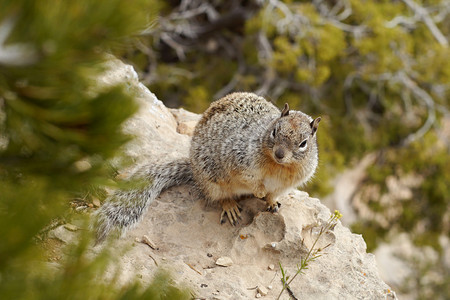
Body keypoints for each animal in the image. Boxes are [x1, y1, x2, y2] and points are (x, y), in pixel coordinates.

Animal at [95, 92, 320, 243]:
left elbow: (274, 194)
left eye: (303, 143)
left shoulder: (288, 183)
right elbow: (247, 178)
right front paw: (259, 191)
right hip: (212, 180)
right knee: (220, 196)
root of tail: (194, 170)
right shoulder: (238, 157)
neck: (278, 167)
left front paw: (272, 202)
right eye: (274, 131)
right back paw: (230, 206)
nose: (280, 153)